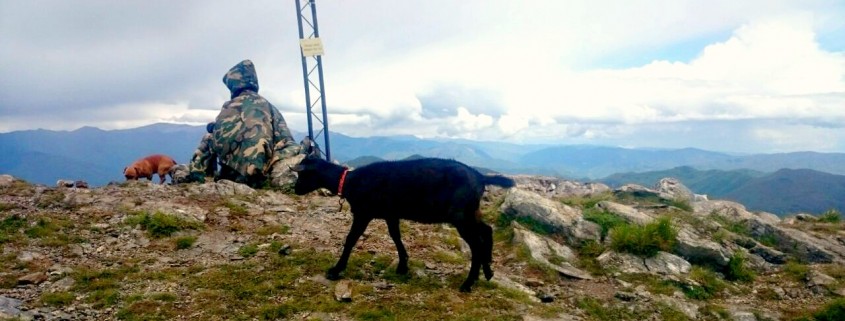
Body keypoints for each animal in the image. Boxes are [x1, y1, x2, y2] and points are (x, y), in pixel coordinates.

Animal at [290, 156, 516, 292]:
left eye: (302, 173)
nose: (295, 189)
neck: (349, 181)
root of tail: (479, 176)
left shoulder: (364, 213)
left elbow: (351, 239)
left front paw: (336, 269)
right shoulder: (391, 214)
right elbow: (395, 236)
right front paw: (403, 265)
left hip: (460, 215)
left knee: (477, 243)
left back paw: (468, 283)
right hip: (470, 213)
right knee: (486, 231)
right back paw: (487, 271)